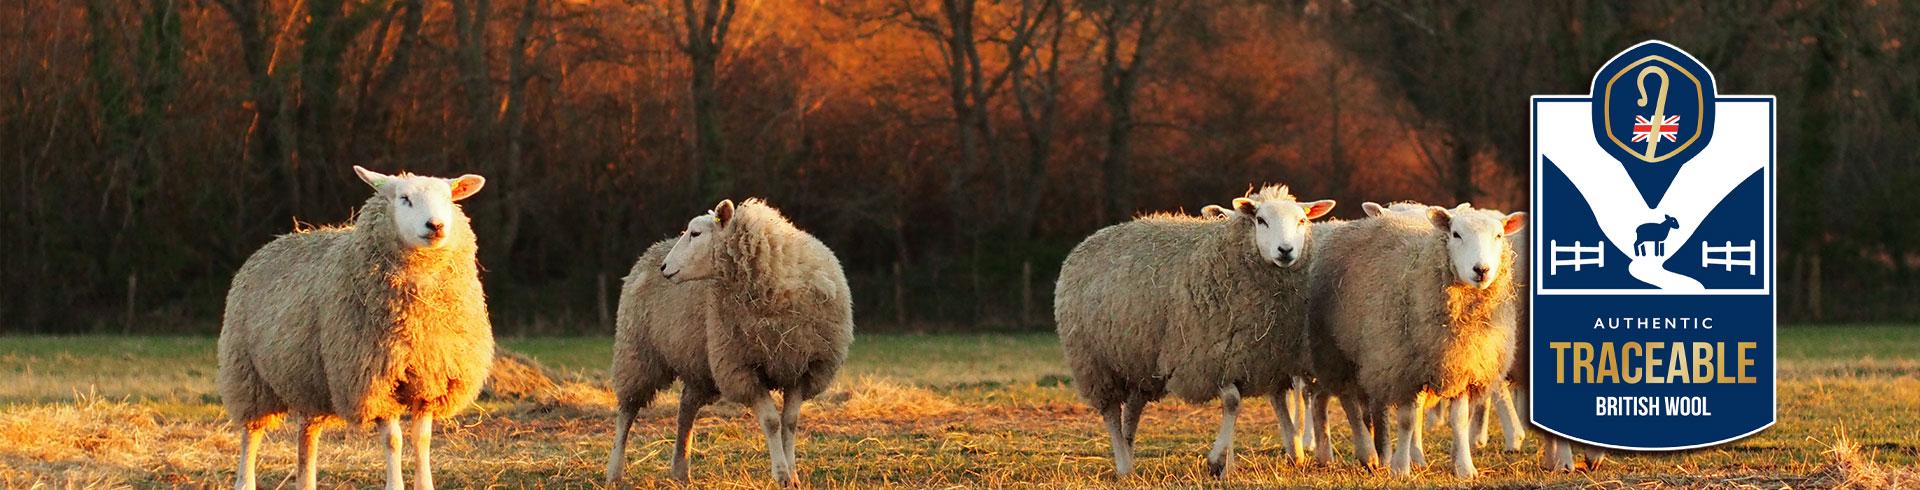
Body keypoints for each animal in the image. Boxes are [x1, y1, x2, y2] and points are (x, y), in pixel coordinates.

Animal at [217, 166, 495, 490]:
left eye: (449, 199)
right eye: (405, 198)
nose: (435, 225)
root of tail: (278, 239)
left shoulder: (430, 380)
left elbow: (422, 439)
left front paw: (425, 484)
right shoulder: (372, 381)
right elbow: (394, 440)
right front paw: (395, 485)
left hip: (310, 379)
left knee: (307, 436)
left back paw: (306, 483)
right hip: (247, 375)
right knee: (251, 435)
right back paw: (245, 481)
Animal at [606, 198, 856, 486]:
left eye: (695, 233)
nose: (664, 268)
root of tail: (651, 250)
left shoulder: (802, 366)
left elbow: (790, 422)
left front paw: (793, 476)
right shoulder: (741, 369)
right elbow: (772, 421)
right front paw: (781, 474)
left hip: (699, 364)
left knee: (686, 409)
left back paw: (680, 470)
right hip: (637, 353)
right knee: (626, 412)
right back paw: (614, 471)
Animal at [1052, 185, 1336, 476]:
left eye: (1301, 221)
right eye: (1261, 220)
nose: (1285, 250)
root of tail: (1088, 241)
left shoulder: (1263, 359)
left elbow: (1270, 400)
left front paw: (1291, 452)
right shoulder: (1209, 357)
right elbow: (1233, 402)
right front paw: (1217, 459)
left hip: (1139, 363)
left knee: (1132, 409)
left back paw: (1129, 455)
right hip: (1094, 363)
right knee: (1110, 410)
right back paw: (1122, 463)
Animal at [1305, 203, 1528, 478]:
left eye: (1499, 235)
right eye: (1456, 234)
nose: (1481, 270)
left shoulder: (1460, 365)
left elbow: (1458, 419)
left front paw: (1464, 468)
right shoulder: (1400, 368)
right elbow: (1407, 420)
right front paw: (1400, 466)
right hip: (1338, 352)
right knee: (1346, 403)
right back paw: (1365, 453)